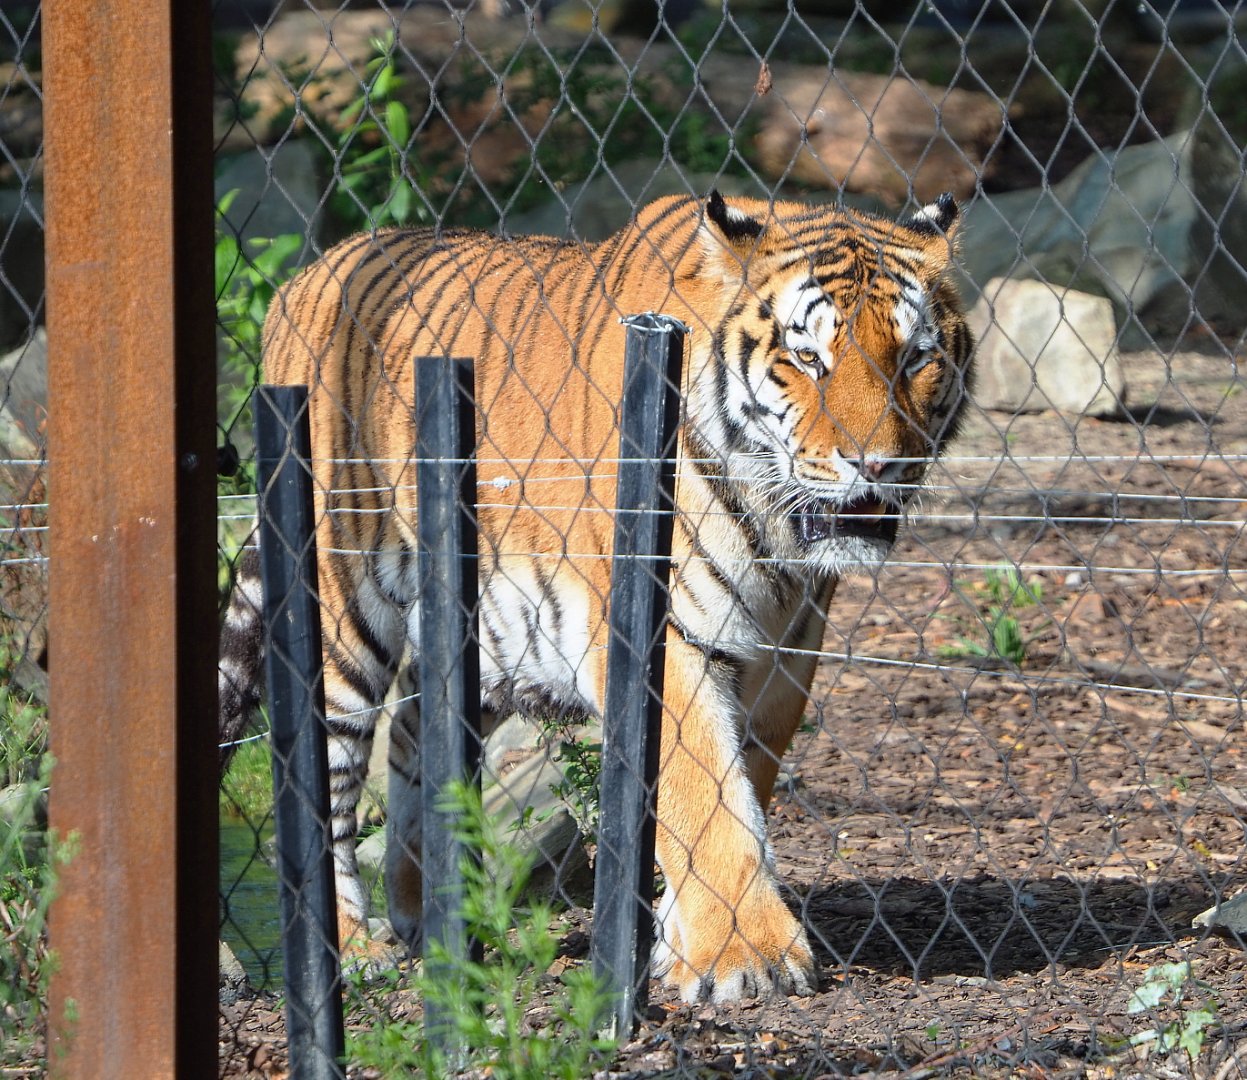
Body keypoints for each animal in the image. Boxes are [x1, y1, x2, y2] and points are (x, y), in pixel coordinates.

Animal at [218, 190, 973, 1003]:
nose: (878, 465)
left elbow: (741, 786)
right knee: (322, 771)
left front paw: (680, 950)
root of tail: (308, 273)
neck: (775, 530)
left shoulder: (785, 653)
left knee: (417, 740)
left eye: (916, 357)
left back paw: (436, 916)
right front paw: (747, 956)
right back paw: (353, 947)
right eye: (808, 358)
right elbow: (704, 795)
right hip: (343, 608)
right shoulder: (663, 632)